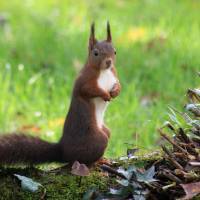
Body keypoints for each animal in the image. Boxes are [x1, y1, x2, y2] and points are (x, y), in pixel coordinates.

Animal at [0, 22, 120, 166]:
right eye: (95, 53)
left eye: (114, 51)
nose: (109, 62)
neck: (104, 71)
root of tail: (63, 151)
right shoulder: (84, 81)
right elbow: (88, 90)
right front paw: (105, 95)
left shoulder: (114, 75)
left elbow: (118, 84)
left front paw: (115, 92)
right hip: (96, 139)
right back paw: (97, 161)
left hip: (105, 131)